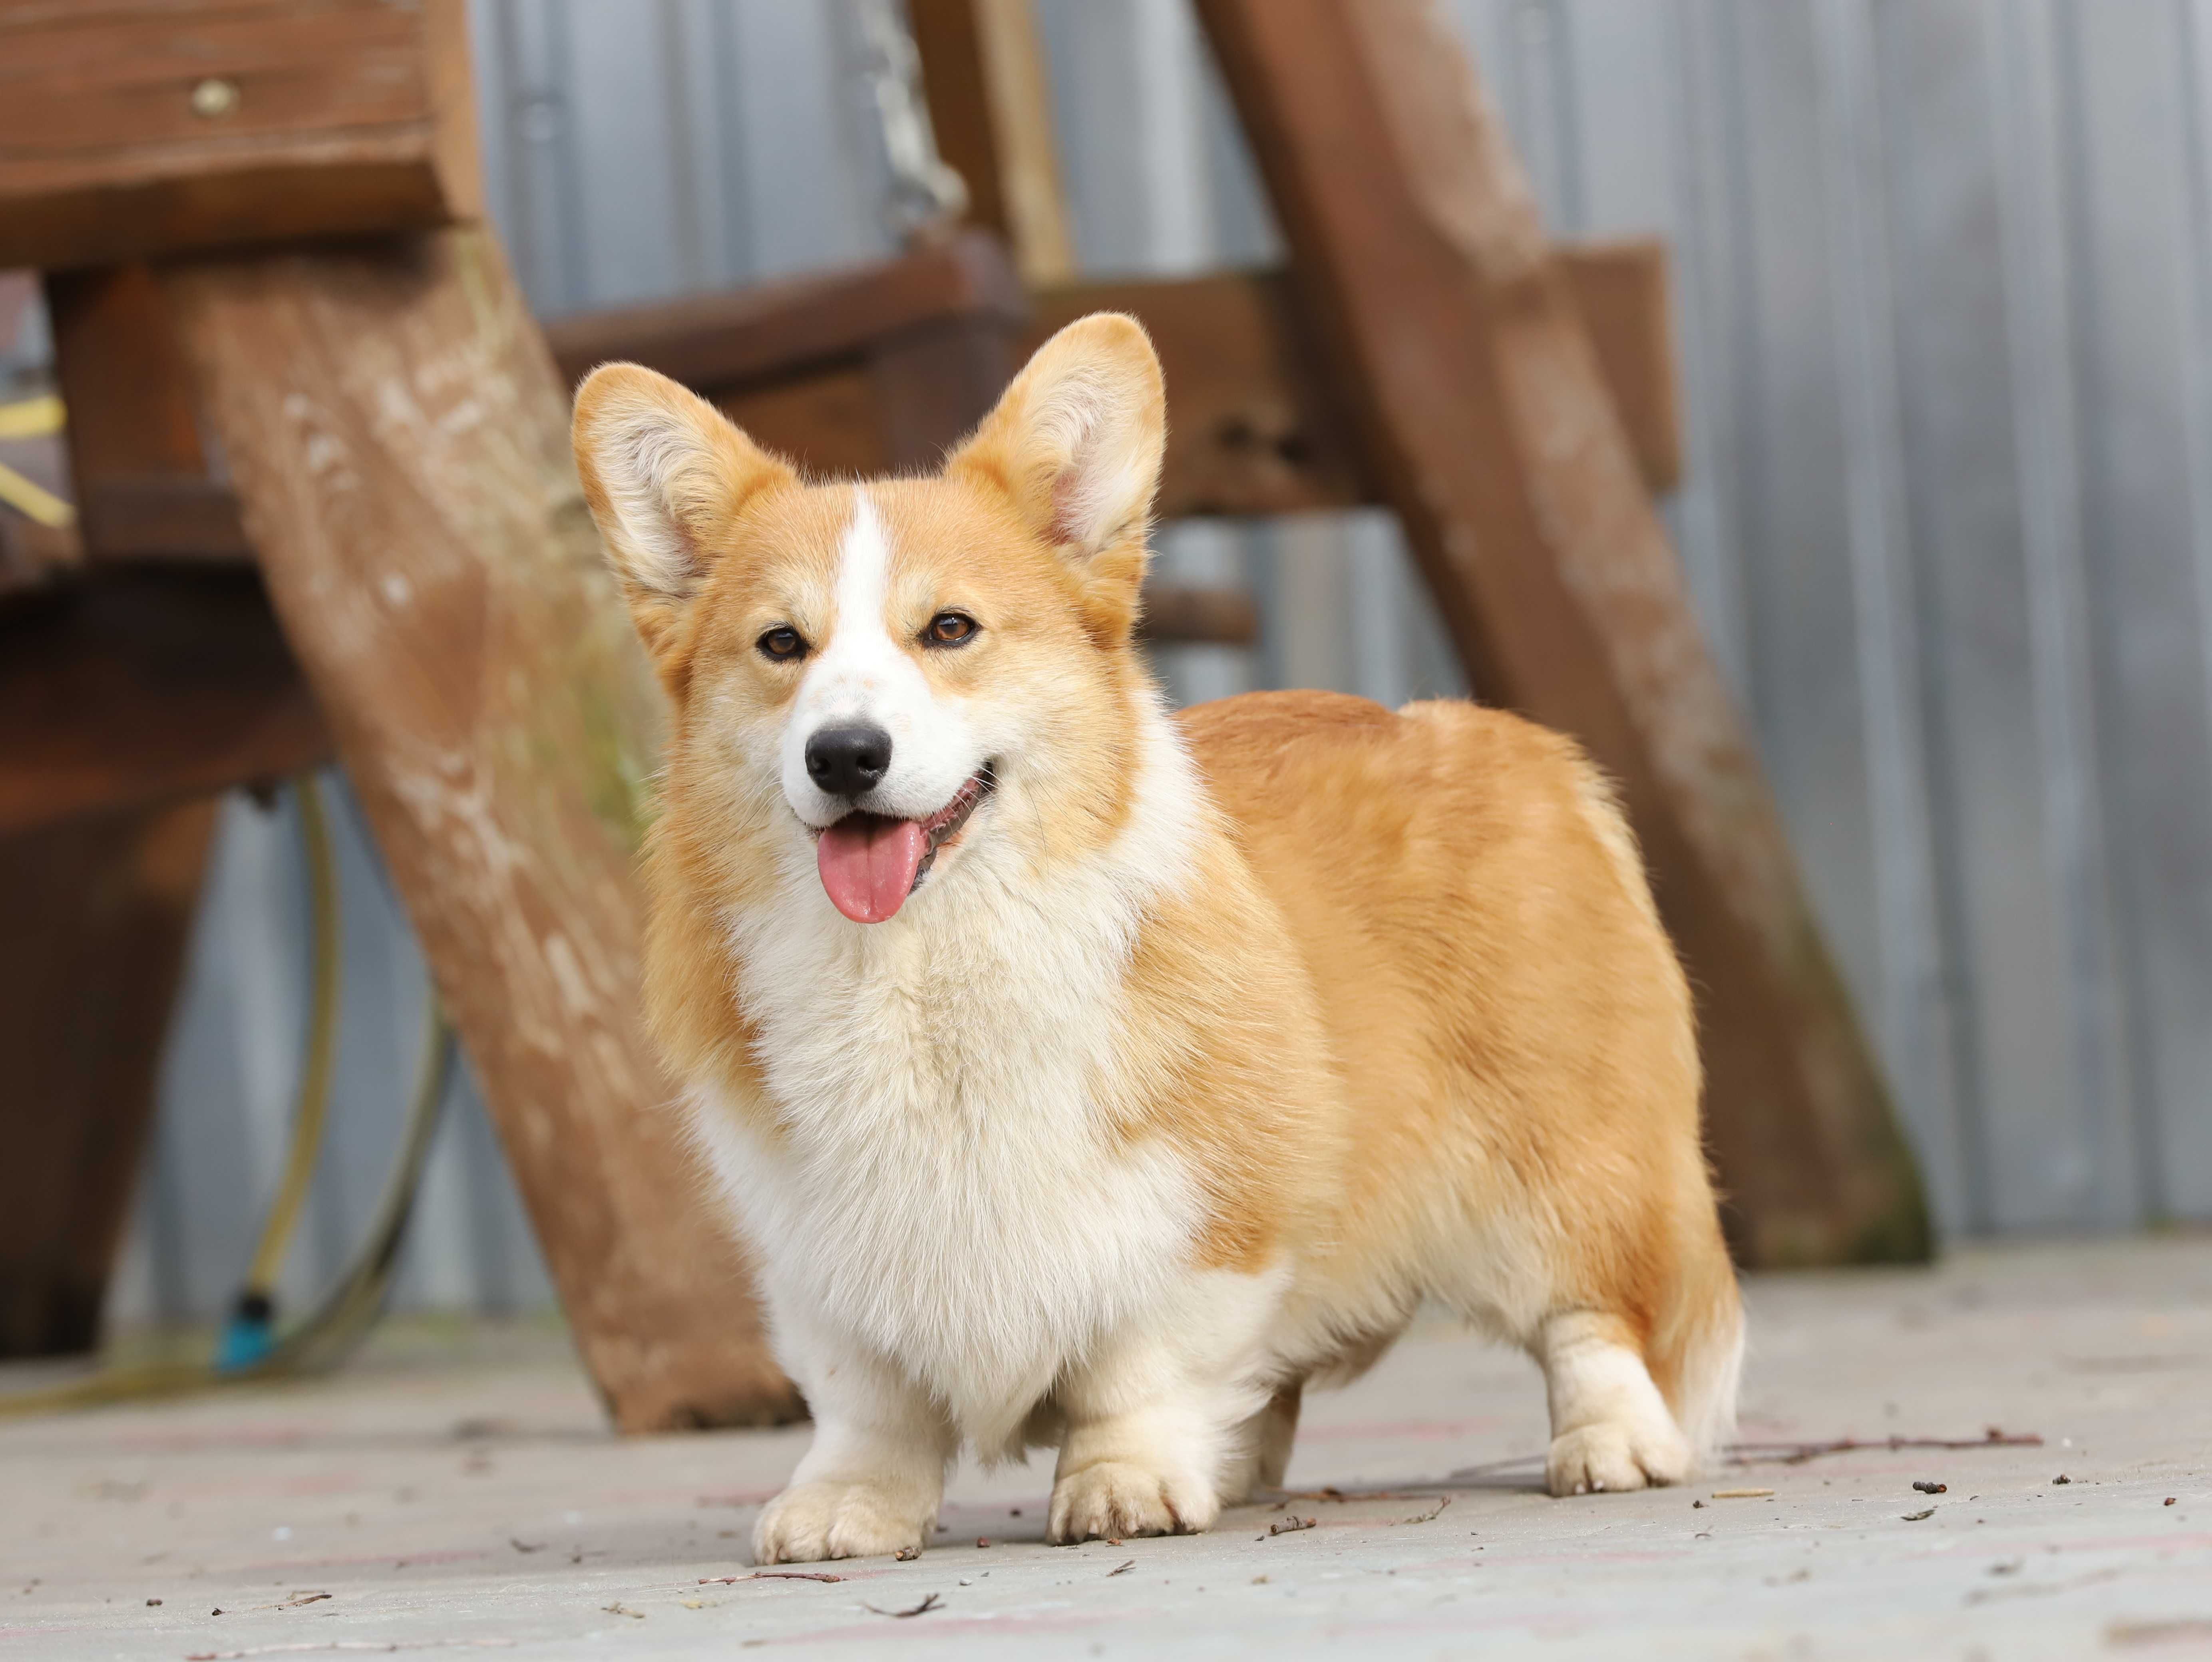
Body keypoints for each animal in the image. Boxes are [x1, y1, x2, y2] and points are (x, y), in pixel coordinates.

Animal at [571, 314, 1743, 1575]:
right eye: (781, 645)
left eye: (949, 630)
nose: (843, 754)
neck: (923, 968)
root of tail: (1521, 747)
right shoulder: (819, 1252)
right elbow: (868, 1399)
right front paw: (851, 1503)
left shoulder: (1206, 1215)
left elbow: (1139, 1367)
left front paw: (1123, 1479)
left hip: (1556, 1167)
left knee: (1591, 1316)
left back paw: (1609, 1444)